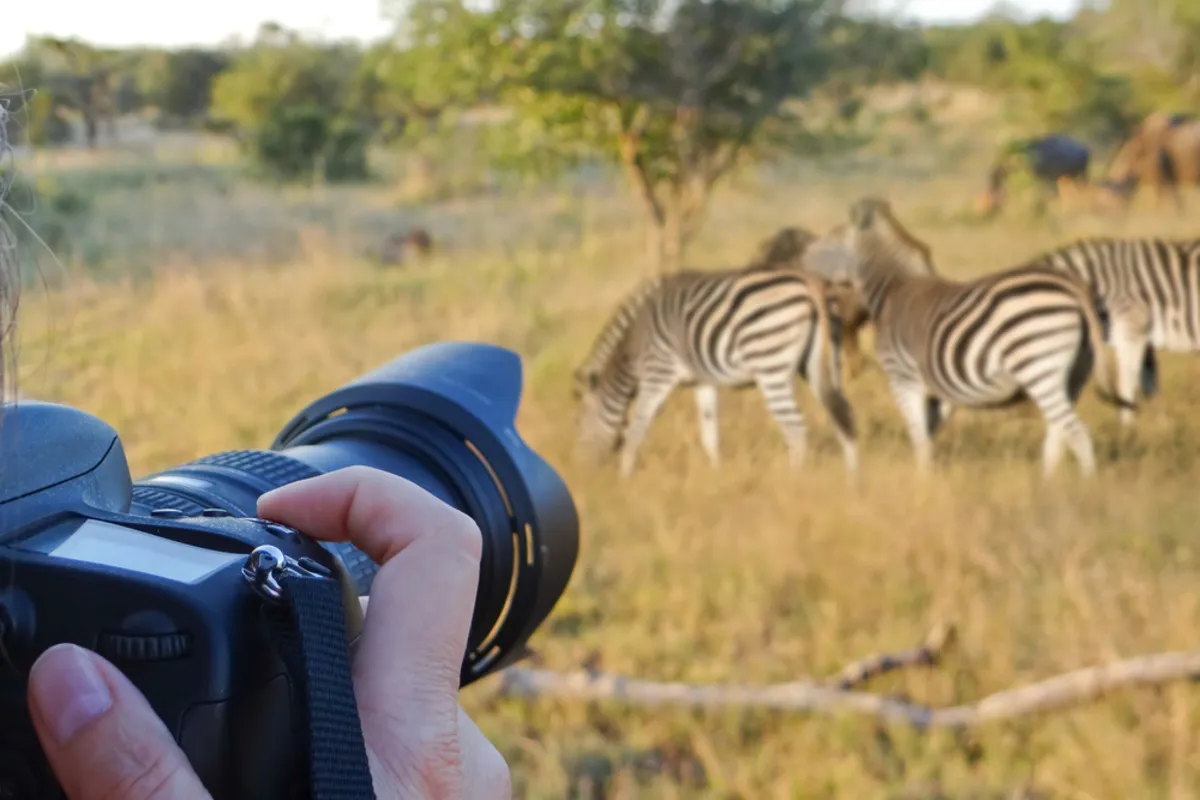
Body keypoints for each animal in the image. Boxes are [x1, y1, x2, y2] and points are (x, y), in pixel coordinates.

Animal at [573, 265, 859, 479]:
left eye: (582, 422)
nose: (584, 472)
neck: (634, 343)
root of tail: (812, 282)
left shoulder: (658, 373)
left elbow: (637, 428)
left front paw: (625, 478)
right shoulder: (703, 382)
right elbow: (709, 435)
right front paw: (717, 477)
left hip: (770, 366)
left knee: (796, 429)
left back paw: (793, 482)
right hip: (823, 363)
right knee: (843, 415)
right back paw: (853, 482)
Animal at [832, 196, 1133, 478]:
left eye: (835, 237)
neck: (894, 288)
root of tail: (1073, 285)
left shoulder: (903, 378)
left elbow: (919, 436)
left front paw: (922, 481)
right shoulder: (943, 390)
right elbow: (929, 432)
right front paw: (929, 477)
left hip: (1038, 364)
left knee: (1077, 433)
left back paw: (1083, 488)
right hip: (1074, 373)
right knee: (1058, 433)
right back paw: (1047, 486)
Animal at [1022, 237, 1200, 425]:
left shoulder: (1132, 331)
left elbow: (1126, 388)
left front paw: (1127, 429)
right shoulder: (1144, 338)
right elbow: (1150, 387)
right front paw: (1160, 427)